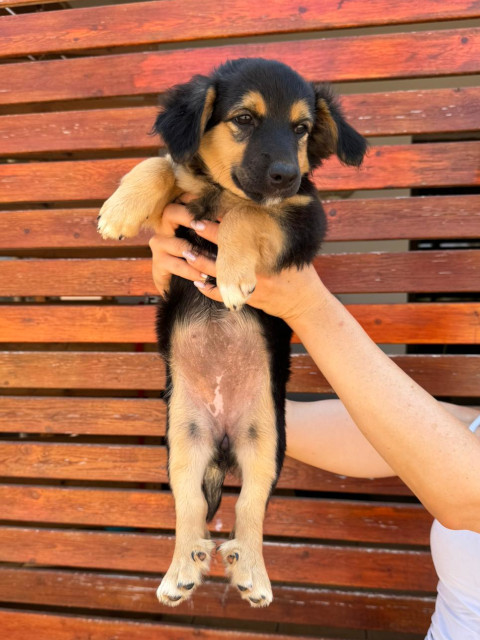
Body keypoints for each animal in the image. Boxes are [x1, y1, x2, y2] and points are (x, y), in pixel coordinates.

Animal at [98, 57, 367, 608]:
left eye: (302, 128)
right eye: (243, 119)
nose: (287, 175)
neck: (219, 190)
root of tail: (223, 439)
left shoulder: (303, 216)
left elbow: (252, 211)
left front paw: (233, 272)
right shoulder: (176, 221)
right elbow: (162, 164)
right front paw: (120, 209)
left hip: (265, 441)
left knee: (250, 510)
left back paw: (253, 573)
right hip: (183, 441)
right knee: (189, 508)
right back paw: (182, 567)